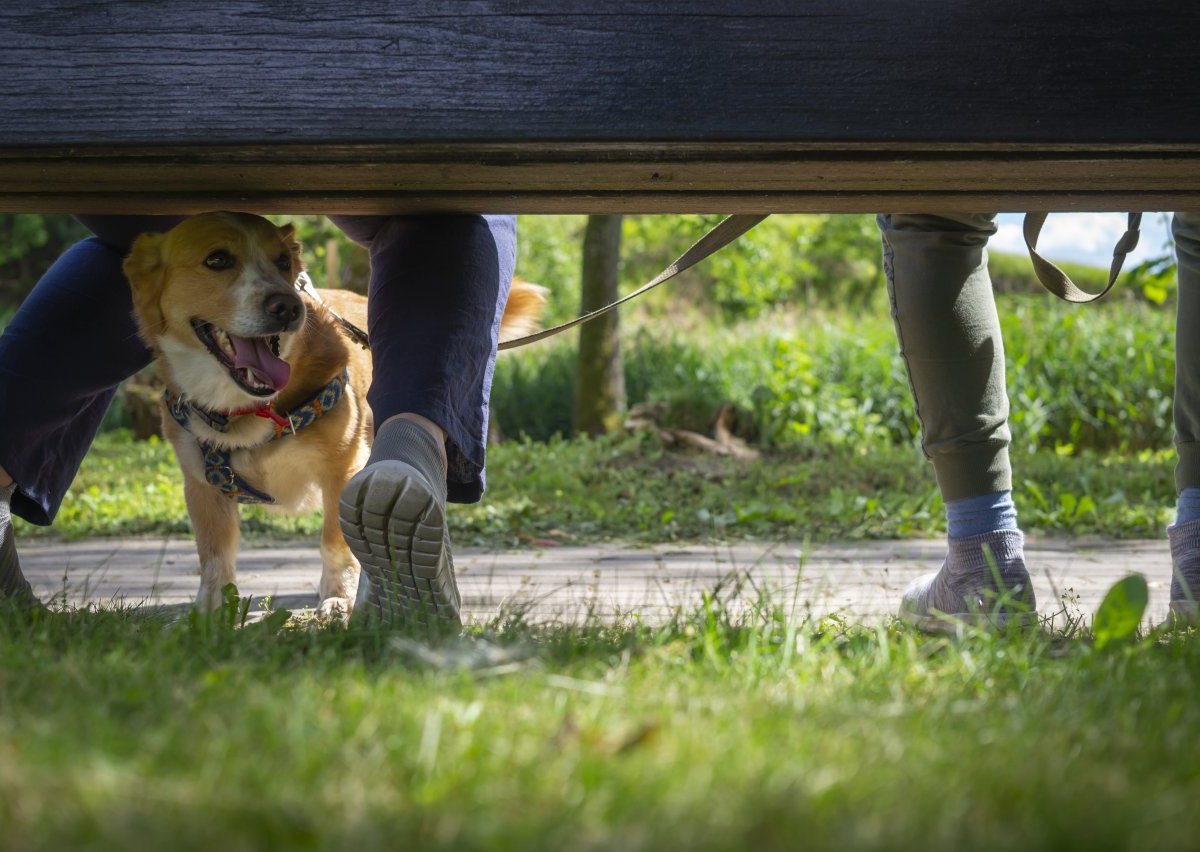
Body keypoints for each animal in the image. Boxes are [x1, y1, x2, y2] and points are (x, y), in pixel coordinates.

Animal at [121, 210, 544, 619]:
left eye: (283, 261)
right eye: (217, 260)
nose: (288, 306)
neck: (249, 412)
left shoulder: (341, 469)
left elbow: (334, 543)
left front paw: (339, 597)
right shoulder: (202, 486)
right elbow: (214, 555)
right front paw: (210, 610)